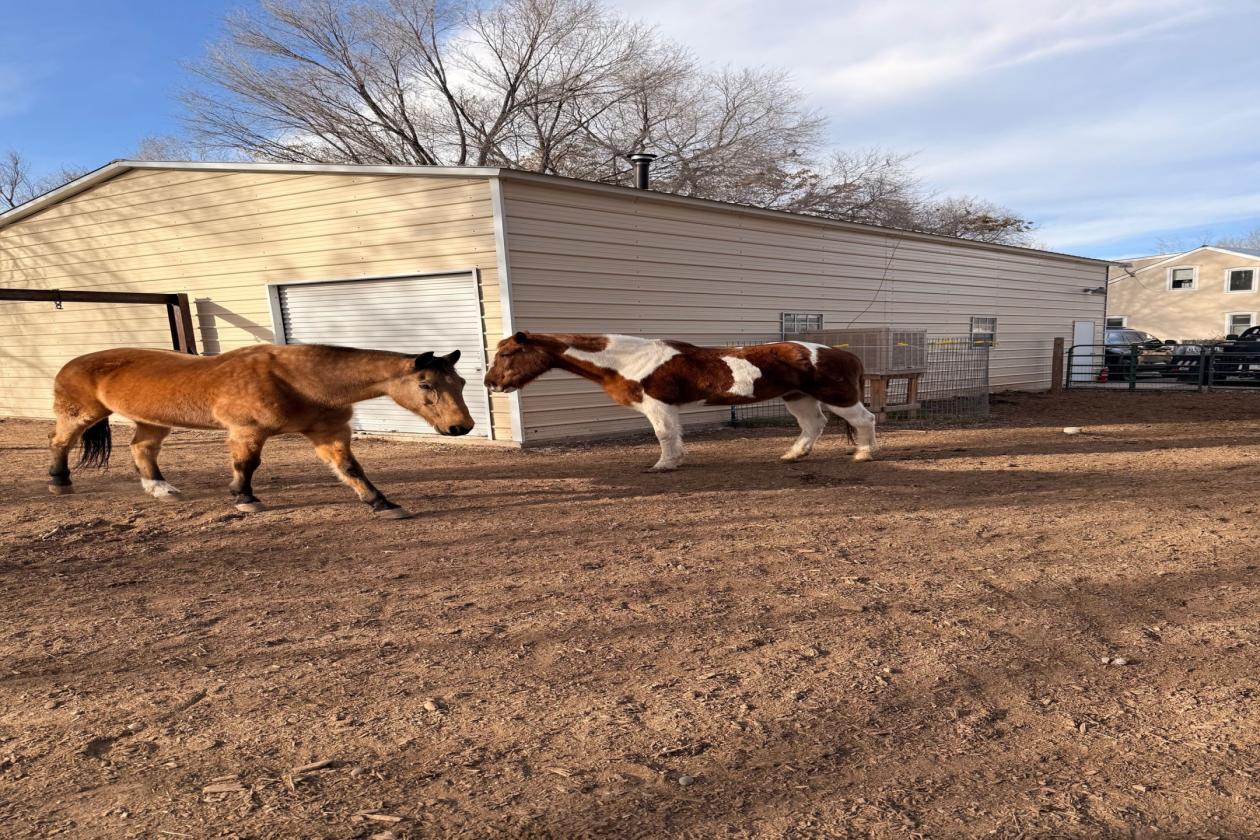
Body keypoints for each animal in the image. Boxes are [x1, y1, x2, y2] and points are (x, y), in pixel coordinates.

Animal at [47, 344, 474, 519]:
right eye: (426, 385)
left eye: (462, 382)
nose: (461, 427)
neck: (298, 377)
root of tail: (71, 363)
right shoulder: (246, 432)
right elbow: (247, 466)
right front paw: (245, 498)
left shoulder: (329, 433)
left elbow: (351, 470)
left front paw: (381, 503)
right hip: (81, 415)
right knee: (59, 442)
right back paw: (58, 481)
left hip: (153, 421)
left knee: (142, 450)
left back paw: (160, 488)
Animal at [484, 332, 876, 470]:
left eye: (507, 354)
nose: (490, 383)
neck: (628, 359)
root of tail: (845, 354)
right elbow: (673, 436)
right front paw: (675, 460)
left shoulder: (657, 405)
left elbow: (665, 436)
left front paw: (665, 465)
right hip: (798, 397)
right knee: (813, 425)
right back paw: (793, 455)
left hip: (836, 397)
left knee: (864, 420)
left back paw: (864, 454)